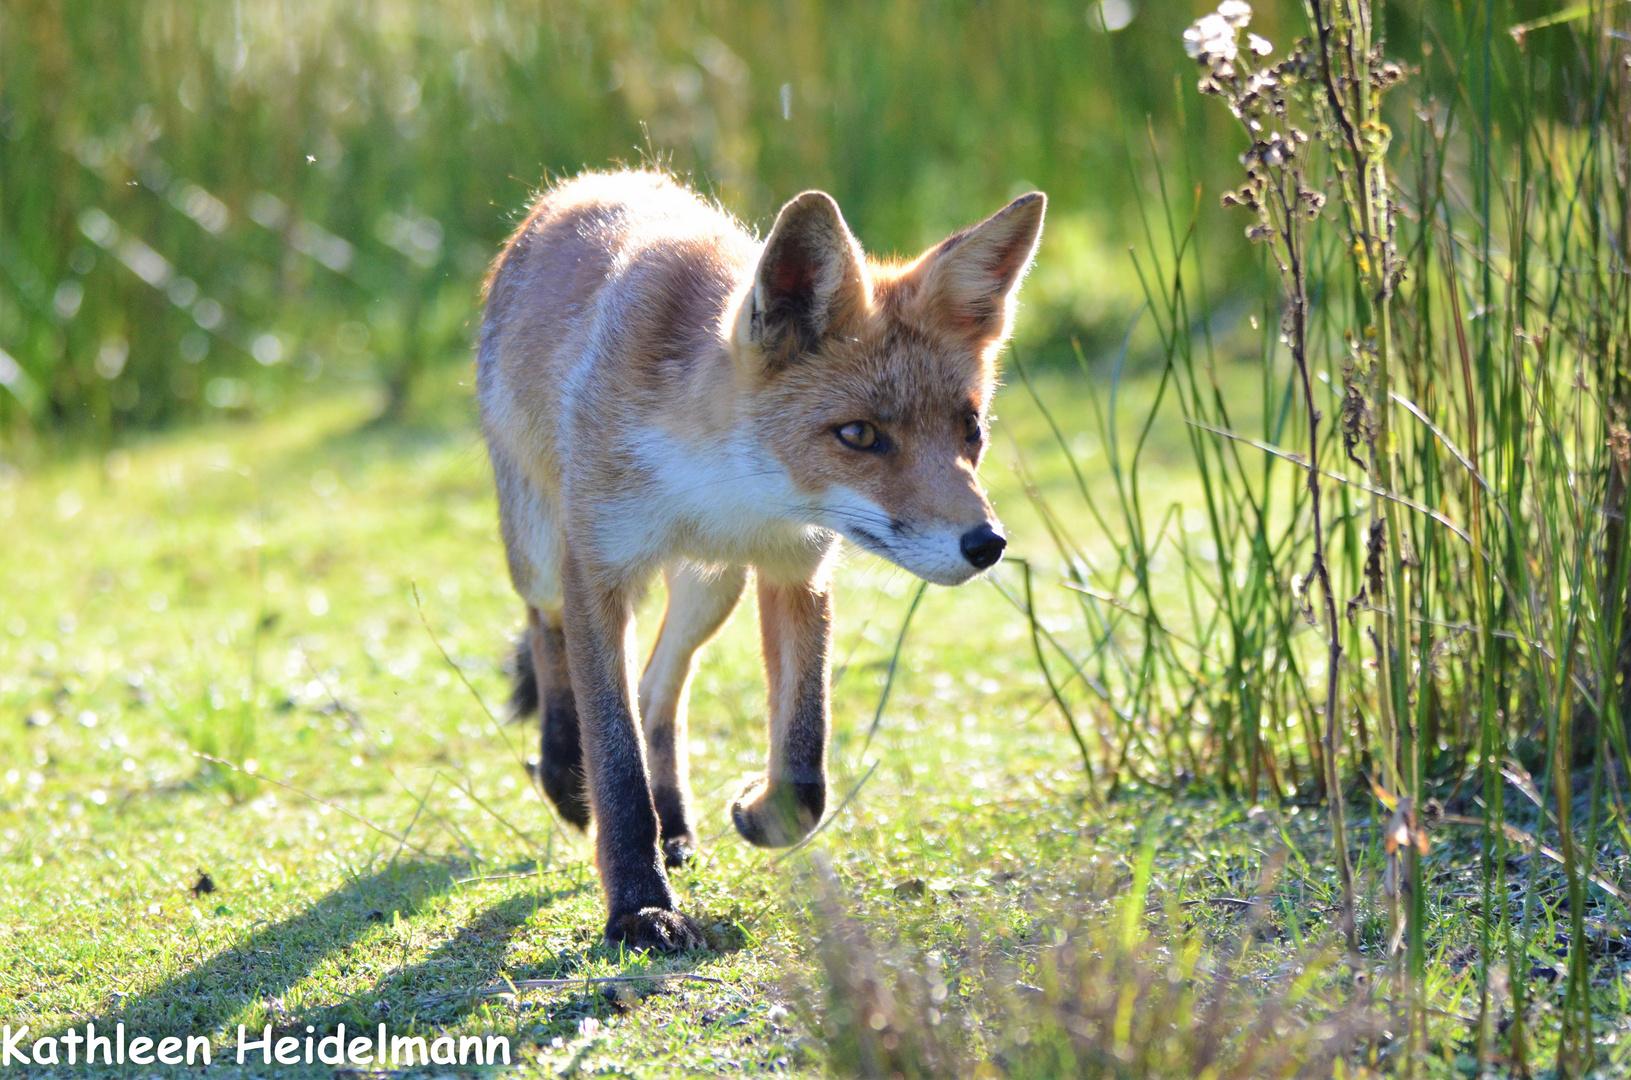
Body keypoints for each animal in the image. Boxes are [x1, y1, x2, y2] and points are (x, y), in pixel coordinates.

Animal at [479, 169, 1043, 959]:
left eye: (971, 429)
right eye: (858, 435)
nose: (986, 544)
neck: (724, 493)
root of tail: (590, 182)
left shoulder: (794, 570)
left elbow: (805, 761)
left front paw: (759, 814)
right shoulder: (596, 568)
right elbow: (615, 762)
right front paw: (640, 908)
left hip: (711, 591)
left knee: (658, 689)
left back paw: (674, 819)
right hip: (538, 546)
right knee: (546, 630)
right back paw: (564, 767)